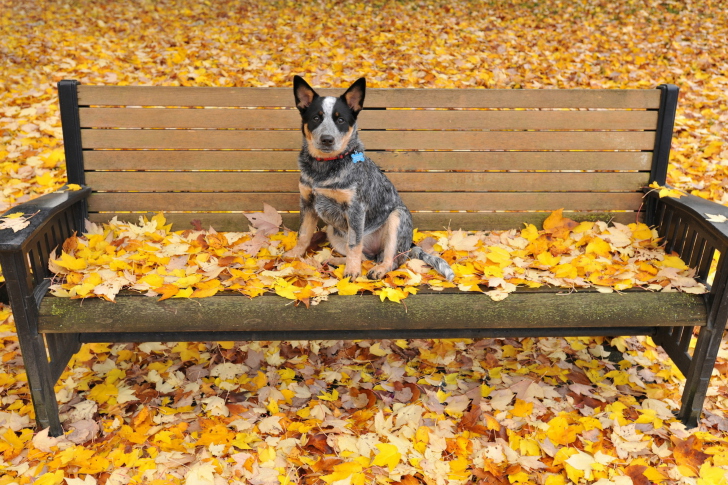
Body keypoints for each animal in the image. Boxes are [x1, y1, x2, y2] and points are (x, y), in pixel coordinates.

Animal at [284, 73, 456, 282]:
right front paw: (294, 255)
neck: (323, 168)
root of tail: (410, 245)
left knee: (391, 260)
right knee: (365, 257)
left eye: (340, 120)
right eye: (316, 117)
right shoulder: (308, 203)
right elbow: (303, 234)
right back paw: (336, 260)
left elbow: (354, 245)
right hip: (333, 230)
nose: (327, 139)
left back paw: (378, 269)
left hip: (397, 219)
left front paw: (352, 272)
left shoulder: (356, 209)